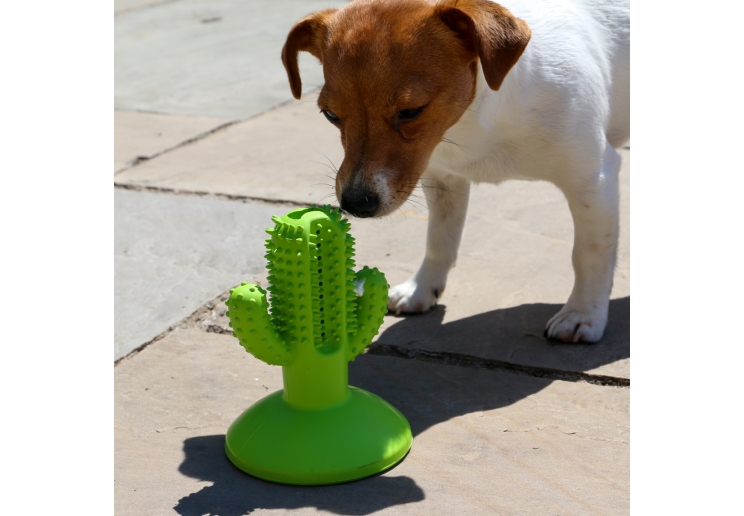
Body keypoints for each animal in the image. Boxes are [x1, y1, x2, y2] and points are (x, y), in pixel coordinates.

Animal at [280, 0, 628, 344]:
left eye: (411, 111)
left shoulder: (592, 181)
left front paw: (582, 313)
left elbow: (589, 254)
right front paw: (421, 288)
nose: (355, 204)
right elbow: (439, 240)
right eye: (330, 114)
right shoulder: (441, 179)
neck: (472, 121)